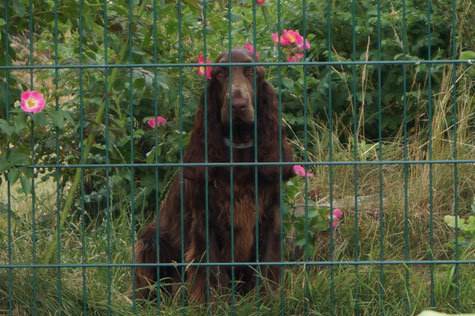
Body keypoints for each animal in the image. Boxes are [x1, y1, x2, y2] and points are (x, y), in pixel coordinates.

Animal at [134, 47, 296, 304]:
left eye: (252, 72)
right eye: (220, 74)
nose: (238, 105)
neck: (238, 151)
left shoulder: (270, 216)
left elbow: (267, 266)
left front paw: (266, 302)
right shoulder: (204, 220)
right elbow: (212, 271)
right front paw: (215, 305)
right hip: (149, 242)